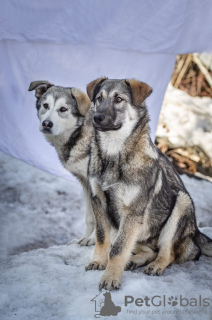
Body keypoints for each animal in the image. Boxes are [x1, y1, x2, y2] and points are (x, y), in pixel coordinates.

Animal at [28, 80, 95, 245]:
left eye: (63, 109)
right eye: (45, 105)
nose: (47, 124)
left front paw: (92, 240)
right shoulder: (86, 184)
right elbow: (90, 218)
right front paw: (84, 238)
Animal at [85, 77, 212, 290]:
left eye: (118, 99)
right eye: (99, 98)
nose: (97, 117)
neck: (114, 154)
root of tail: (195, 234)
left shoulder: (132, 213)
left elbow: (117, 250)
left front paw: (110, 278)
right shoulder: (99, 202)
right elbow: (102, 238)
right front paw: (98, 262)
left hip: (181, 203)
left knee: (167, 253)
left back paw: (156, 266)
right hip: (136, 230)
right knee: (149, 250)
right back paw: (134, 261)